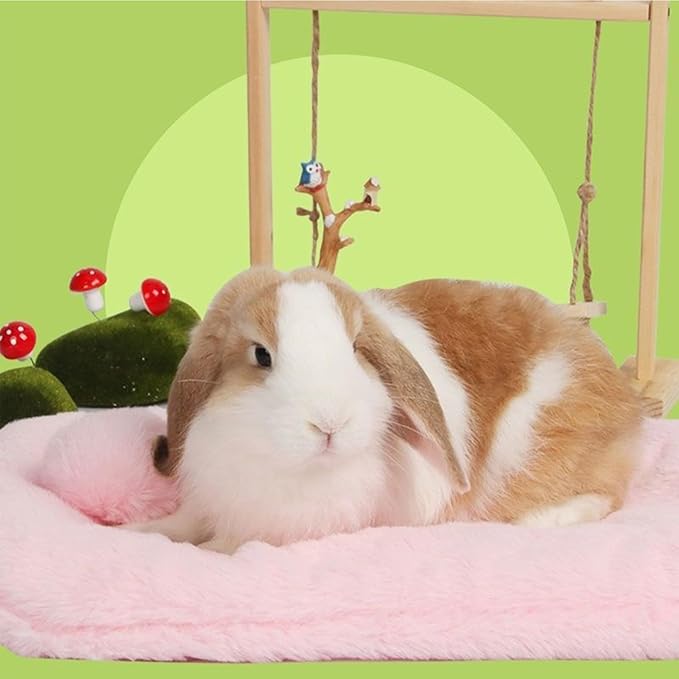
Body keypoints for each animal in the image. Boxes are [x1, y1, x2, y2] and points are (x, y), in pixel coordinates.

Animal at [124, 266, 643, 553]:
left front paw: (212, 550)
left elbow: (228, 545)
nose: (330, 423)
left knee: (607, 494)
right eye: (261, 355)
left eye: (357, 347)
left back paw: (534, 521)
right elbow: (183, 523)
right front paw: (139, 530)